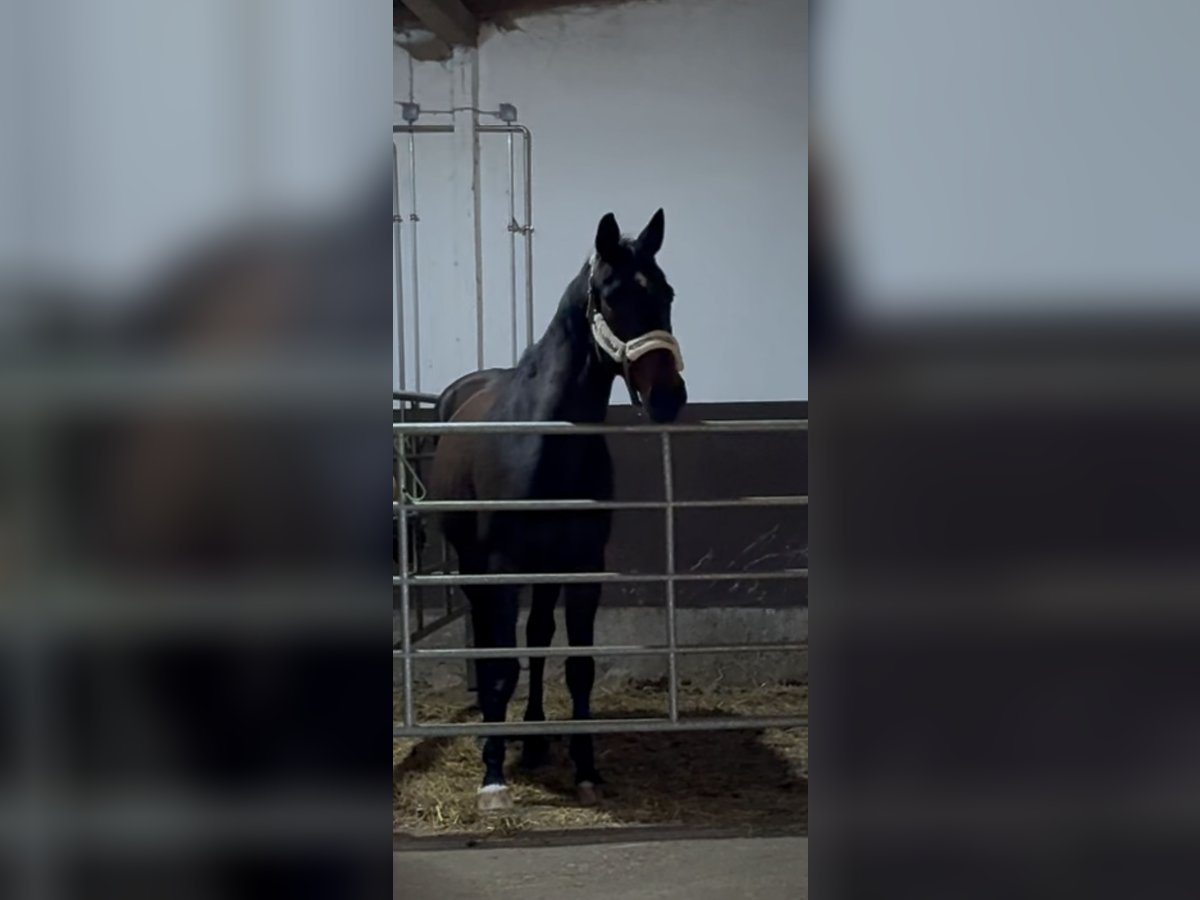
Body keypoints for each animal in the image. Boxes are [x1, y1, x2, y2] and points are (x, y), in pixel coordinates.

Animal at [427, 208, 688, 811]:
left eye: (666, 293)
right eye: (612, 297)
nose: (667, 397)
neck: (546, 442)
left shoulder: (584, 565)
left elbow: (579, 666)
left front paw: (586, 769)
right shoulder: (499, 568)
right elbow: (502, 666)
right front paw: (492, 777)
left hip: (545, 569)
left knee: (540, 636)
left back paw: (535, 740)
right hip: (476, 568)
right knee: (492, 643)